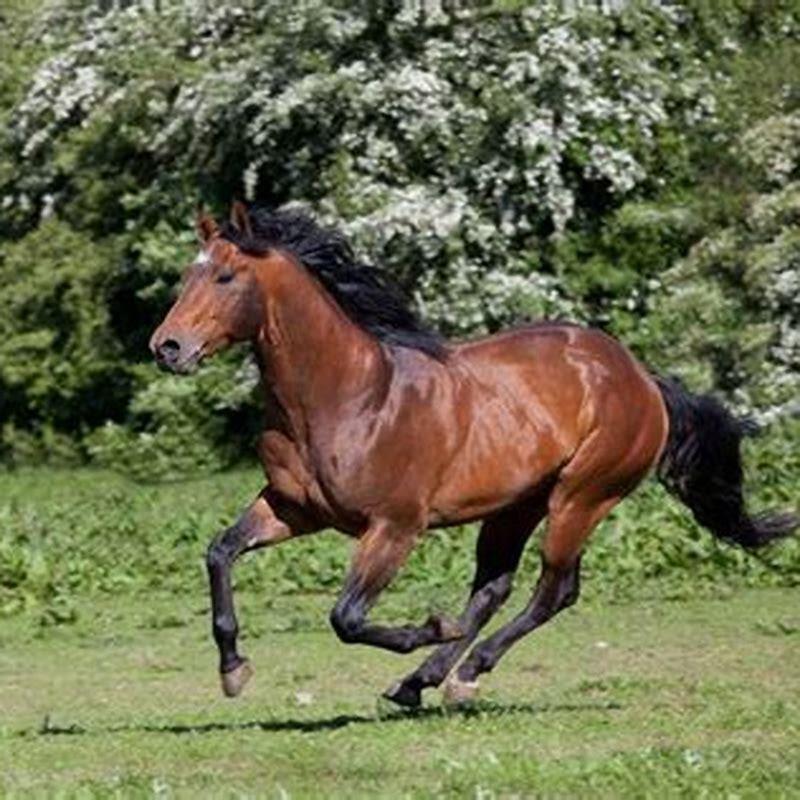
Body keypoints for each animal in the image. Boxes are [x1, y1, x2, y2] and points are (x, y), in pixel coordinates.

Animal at [149, 202, 798, 707]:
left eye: (226, 277)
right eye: (187, 275)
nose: (167, 347)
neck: (347, 396)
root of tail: (641, 378)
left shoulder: (394, 527)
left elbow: (347, 618)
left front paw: (432, 627)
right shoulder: (293, 509)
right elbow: (219, 552)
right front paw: (234, 670)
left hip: (580, 498)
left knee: (553, 591)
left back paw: (463, 673)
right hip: (516, 506)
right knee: (493, 590)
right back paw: (421, 682)